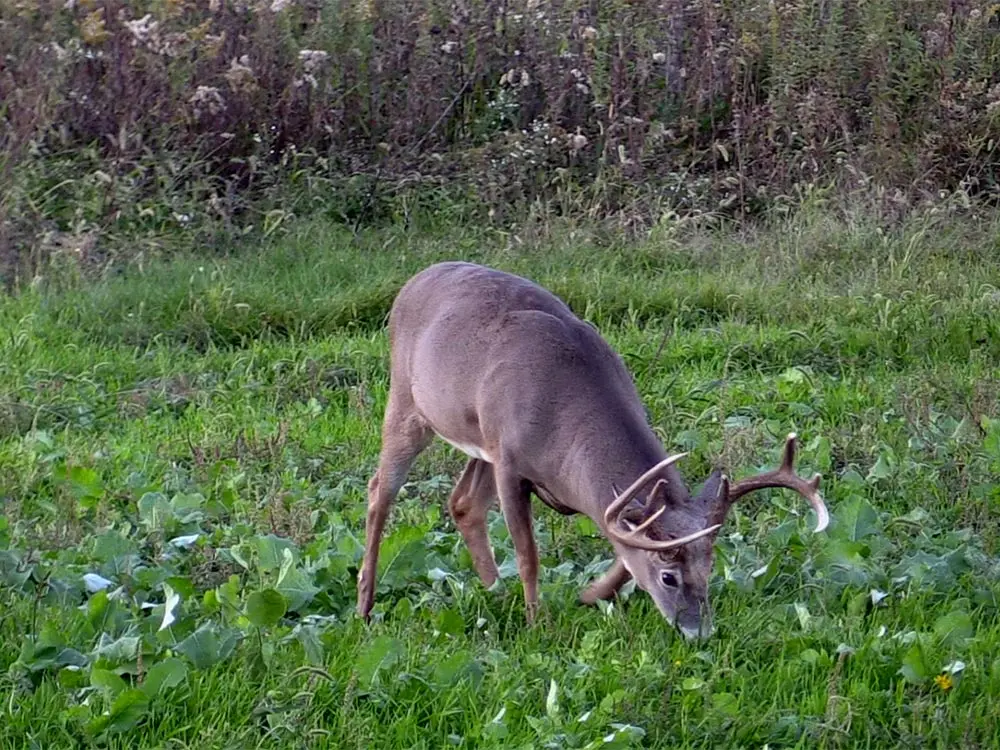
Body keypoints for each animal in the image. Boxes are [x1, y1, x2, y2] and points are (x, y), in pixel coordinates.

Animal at [358, 262, 828, 640]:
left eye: (710, 568)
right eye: (669, 578)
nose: (699, 632)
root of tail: (416, 279)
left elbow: (621, 545)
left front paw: (588, 595)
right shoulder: (510, 462)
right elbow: (529, 555)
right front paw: (538, 624)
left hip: (478, 438)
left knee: (462, 503)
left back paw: (495, 593)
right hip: (407, 403)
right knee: (380, 490)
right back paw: (365, 604)